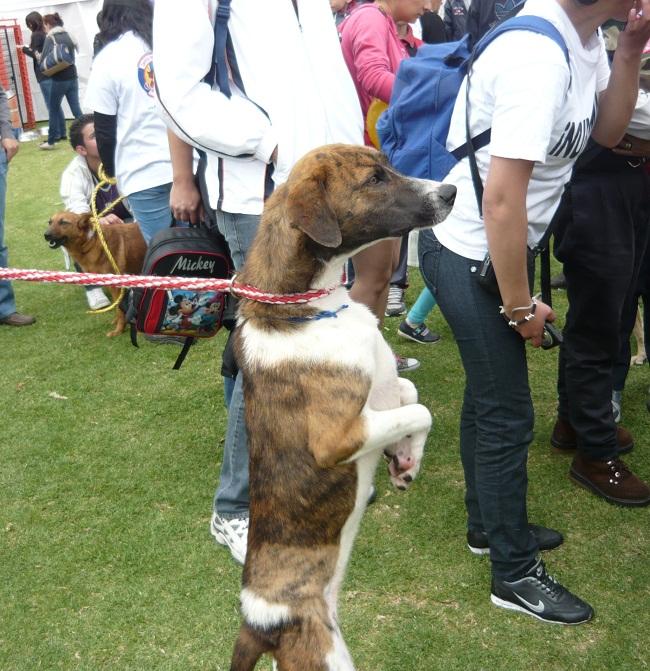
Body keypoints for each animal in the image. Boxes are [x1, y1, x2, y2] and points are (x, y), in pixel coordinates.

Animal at [228, 144, 456, 668]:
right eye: (374, 179)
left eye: (388, 165)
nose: (452, 190)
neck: (307, 306)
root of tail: (257, 622)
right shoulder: (337, 437)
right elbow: (422, 410)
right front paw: (406, 461)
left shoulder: (386, 393)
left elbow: (409, 397)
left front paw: (404, 459)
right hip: (323, 656)